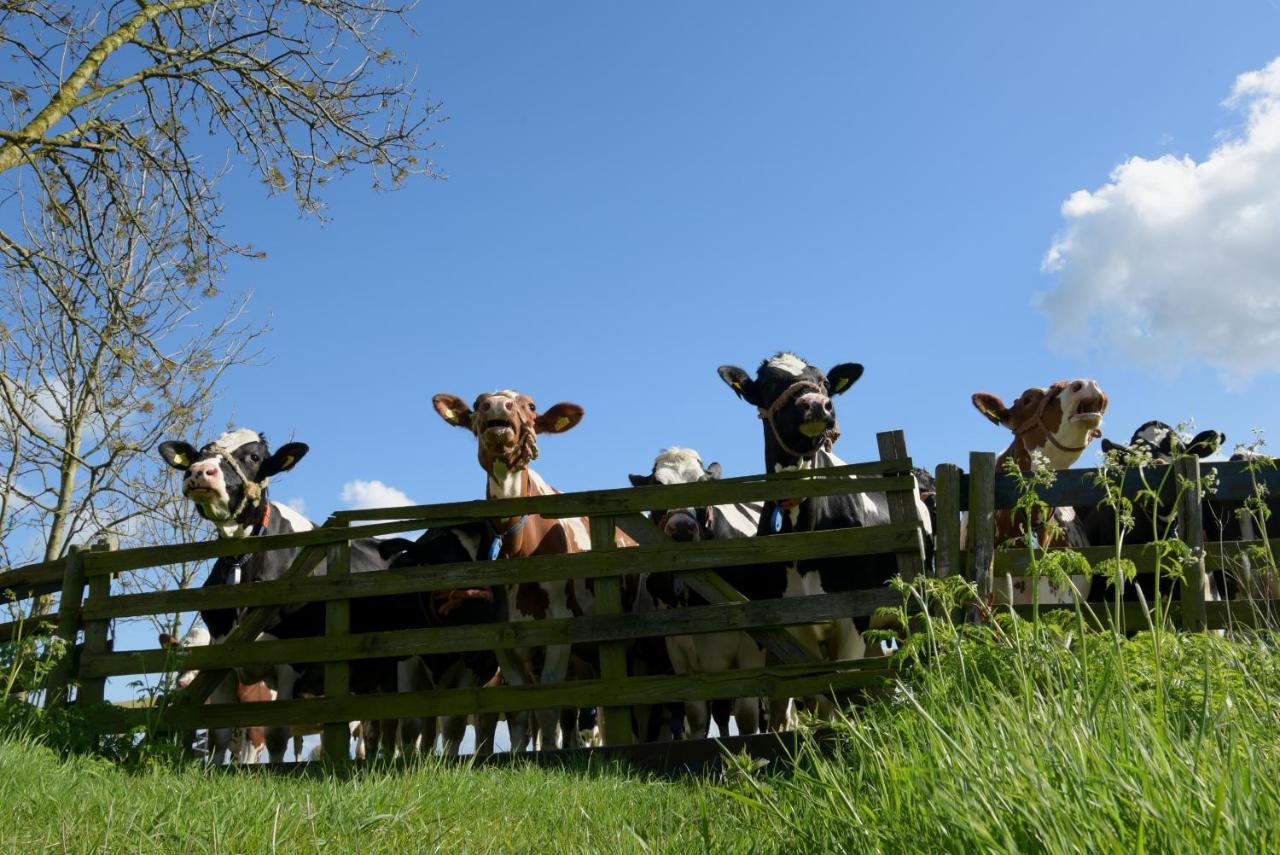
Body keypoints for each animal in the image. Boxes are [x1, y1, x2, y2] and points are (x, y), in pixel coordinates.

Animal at [432, 386, 637, 747]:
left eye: (530, 405)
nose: (497, 405)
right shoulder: (505, 639)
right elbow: (522, 712)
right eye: (478, 403)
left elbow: (548, 711)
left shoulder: (560, 631)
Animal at [627, 450, 762, 737]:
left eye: (702, 483)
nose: (681, 528)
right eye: (656, 486)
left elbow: (746, 716)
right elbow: (698, 715)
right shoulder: (680, 651)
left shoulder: (752, 647)